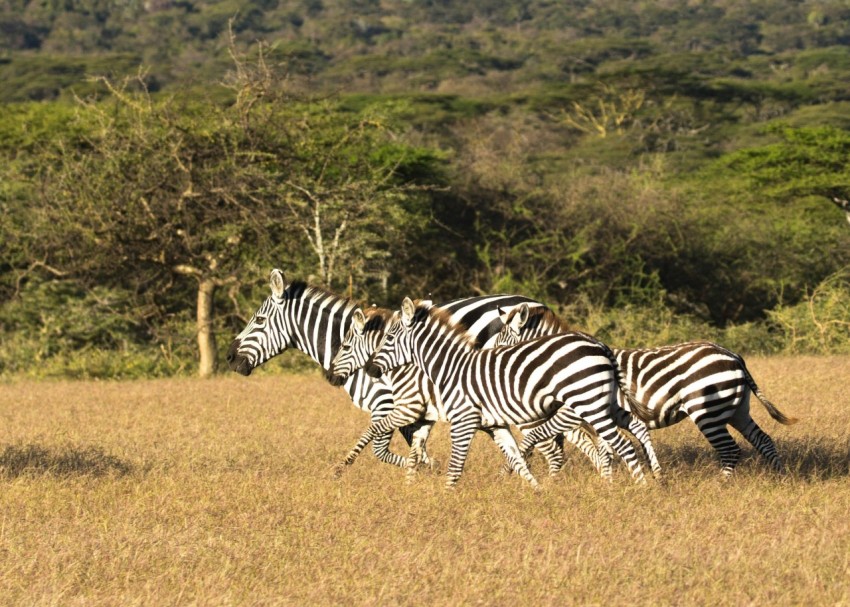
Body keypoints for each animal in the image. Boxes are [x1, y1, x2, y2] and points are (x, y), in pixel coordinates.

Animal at [226, 268, 547, 473]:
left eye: (259, 320)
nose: (229, 357)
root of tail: (535, 304)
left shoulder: (386, 402)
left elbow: (380, 450)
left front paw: (428, 470)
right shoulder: (413, 408)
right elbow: (415, 445)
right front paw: (427, 469)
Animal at [336, 296, 655, 488]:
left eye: (390, 338)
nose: (372, 370)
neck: (447, 367)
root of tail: (599, 345)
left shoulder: (446, 416)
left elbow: (452, 464)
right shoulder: (481, 422)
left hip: (585, 407)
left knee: (617, 446)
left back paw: (635, 489)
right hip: (603, 404)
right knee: (625, 434)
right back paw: (652, 479)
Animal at [496, 303, 799, 476]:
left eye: (501, 339)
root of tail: (733, 355)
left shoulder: (579, 413)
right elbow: (605, 453)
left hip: (708, 412)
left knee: (730, 450)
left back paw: (722, 486)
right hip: (737, 409)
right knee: (763, 441)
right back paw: (781, 480)